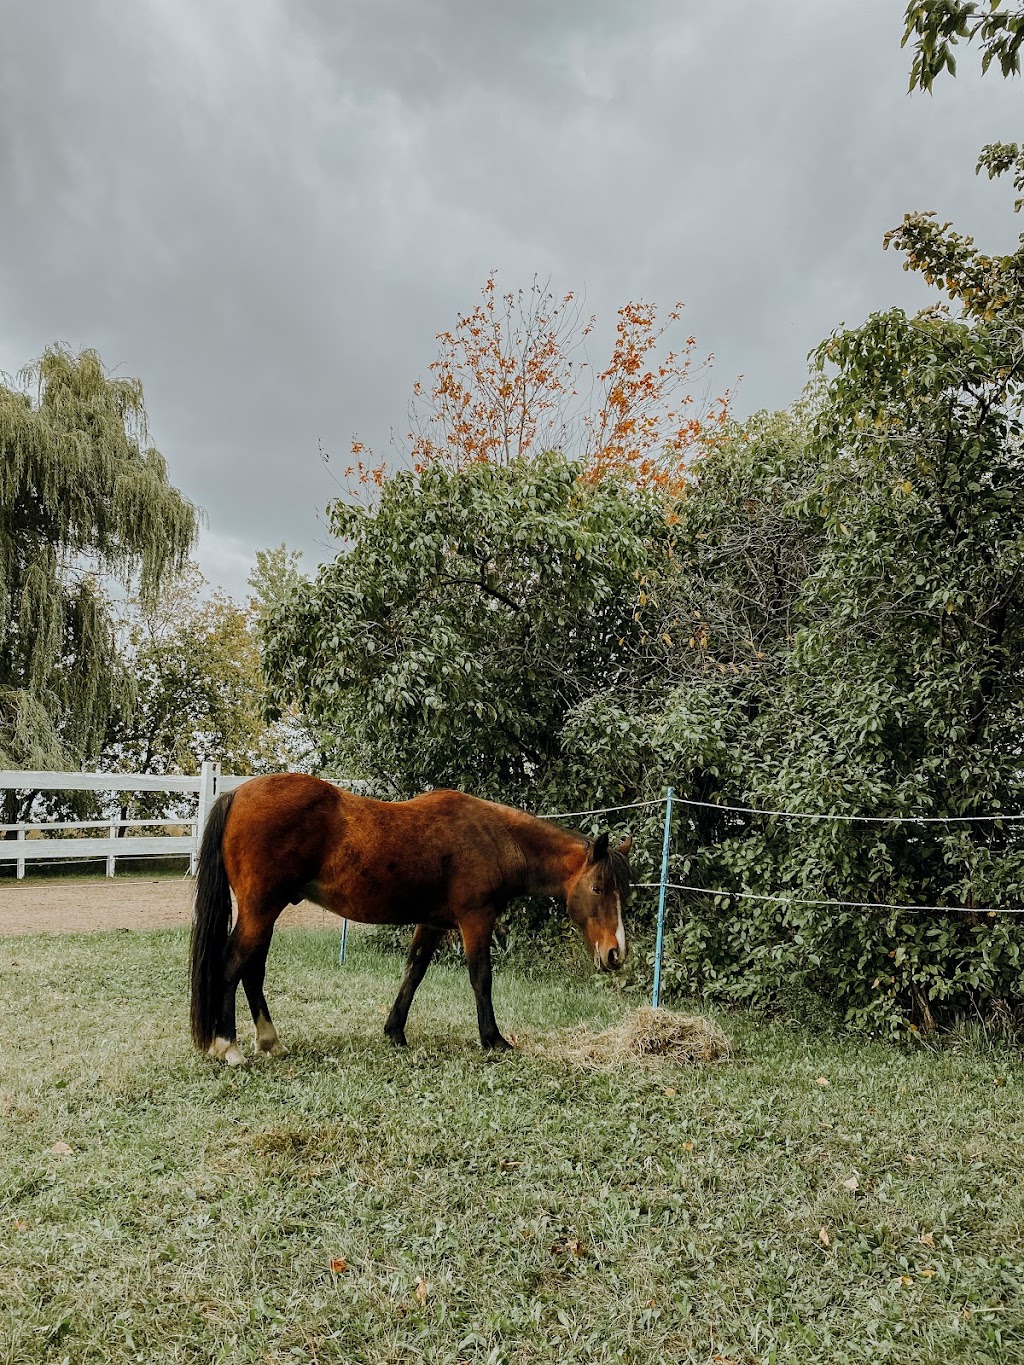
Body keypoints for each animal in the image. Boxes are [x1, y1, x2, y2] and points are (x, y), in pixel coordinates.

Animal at [188, 775, 630, 1059]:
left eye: (622, 890)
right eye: (598, 888)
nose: (616, 953)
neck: (494, 838)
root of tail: (237, 793)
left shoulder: (432, 923)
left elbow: (413, 972)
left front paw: (395, 1032)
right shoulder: (475, 920)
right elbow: (481, 977)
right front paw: (493, 1039)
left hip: (266, 912)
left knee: (252, 970)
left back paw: (270, 1041)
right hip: (261, 910)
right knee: (232, 965)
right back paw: (228, 1046)